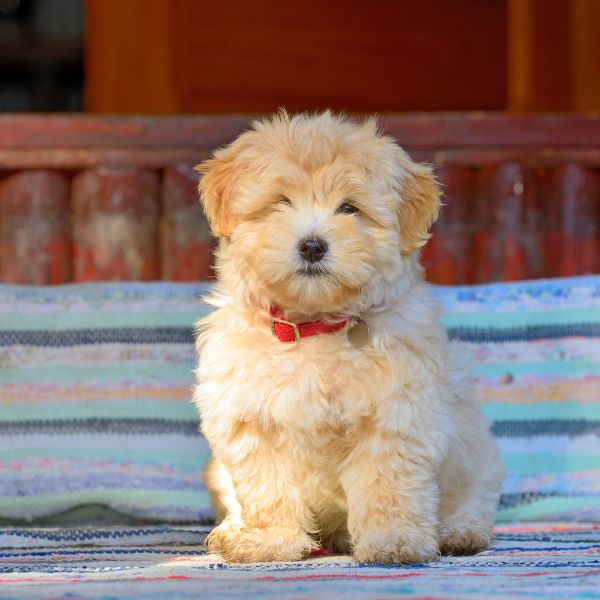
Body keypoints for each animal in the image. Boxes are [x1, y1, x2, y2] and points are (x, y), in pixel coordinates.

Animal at [195, 109, 504, 564]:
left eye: (350, 208)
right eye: (280, 202)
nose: (312, 245)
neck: (313, 326)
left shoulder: (396, 415)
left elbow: (388, 484)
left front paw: (394, 541)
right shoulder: (251, 419)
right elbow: (267, 488)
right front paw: (271, 541)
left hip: (475, 456)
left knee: (473, 498)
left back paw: (459, 531)